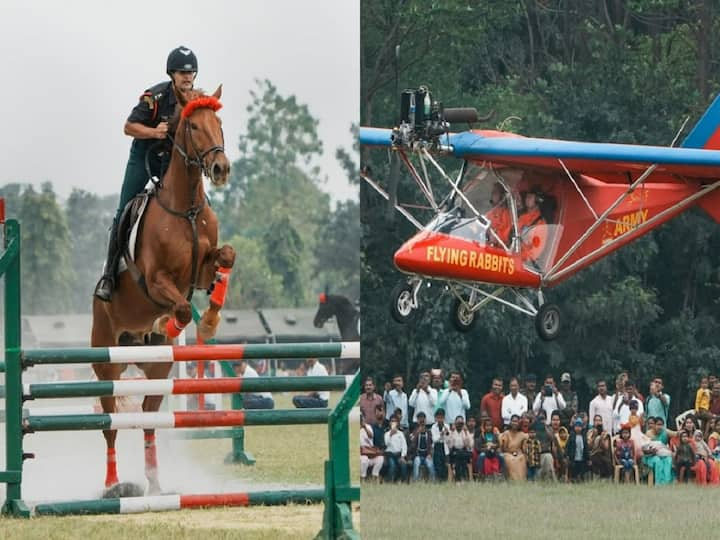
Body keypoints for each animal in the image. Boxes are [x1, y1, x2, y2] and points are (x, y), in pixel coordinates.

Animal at [89, 84, 236, 494]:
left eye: (219, 123)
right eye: (194, 126)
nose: (220, 169)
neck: (184, 209)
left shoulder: (202, 270)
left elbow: (227, 259)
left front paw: (210, 321)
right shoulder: (158, 281)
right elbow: (182, 308)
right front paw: (167, 323)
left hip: (157, 368)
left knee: (149, 417)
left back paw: (155, 485)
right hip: (106, 363)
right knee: (110, 426)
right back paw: (114, 484)